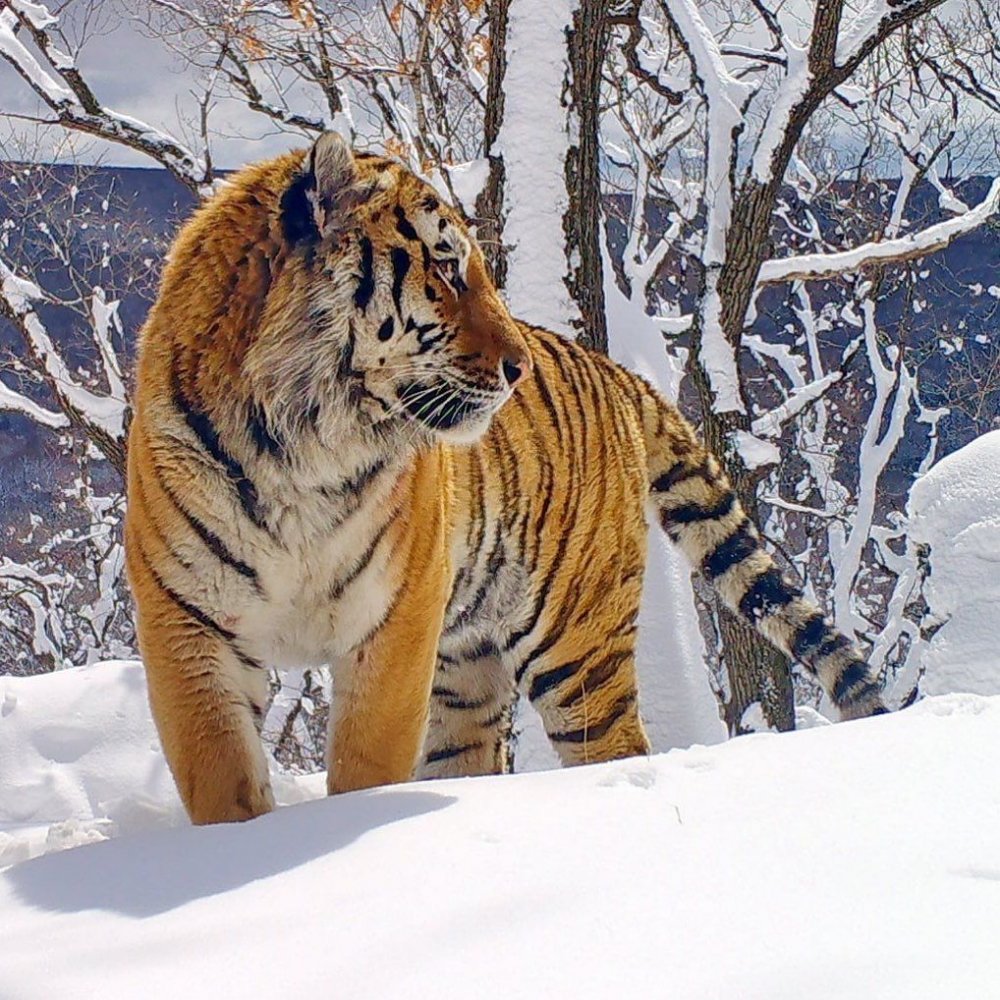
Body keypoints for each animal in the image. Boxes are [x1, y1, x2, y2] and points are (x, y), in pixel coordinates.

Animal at [125, 133, 884, 824]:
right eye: (447, 268)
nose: (518, 367)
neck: (298, 446)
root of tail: (616, 371)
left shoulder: (392, 623)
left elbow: (367, 769)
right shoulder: (189, 625)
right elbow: (222, 779)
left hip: (577, 646)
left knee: (615, 744)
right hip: (467, 667)